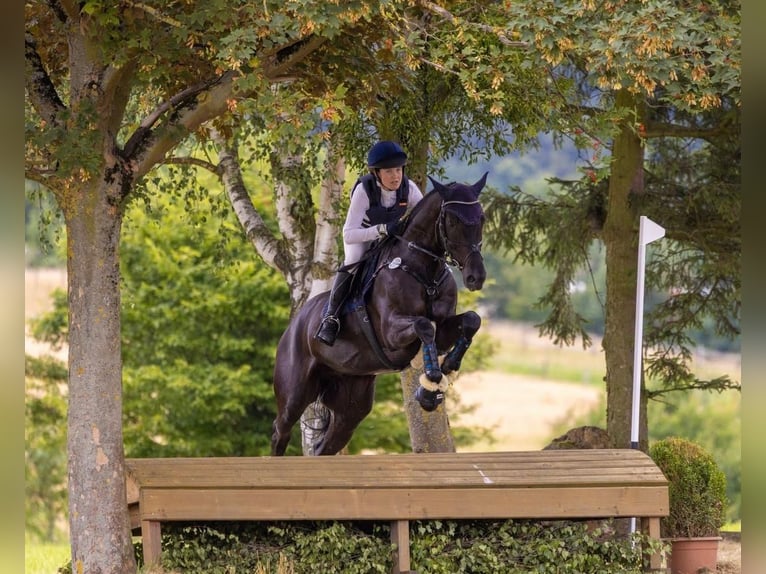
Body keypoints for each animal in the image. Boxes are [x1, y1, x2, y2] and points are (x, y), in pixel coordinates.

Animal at [272, 173, 488, 456]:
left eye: (482, 218)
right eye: (452, 220)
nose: (476, 277)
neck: (424, 272)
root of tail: (294, 325)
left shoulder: (443, 330)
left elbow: (471, 320)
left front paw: (447, 369)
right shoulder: (391, 333)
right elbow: (424, 325)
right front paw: (430, 387)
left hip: (351, 406)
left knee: (326, 445)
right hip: (295, 393)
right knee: (280, 430)